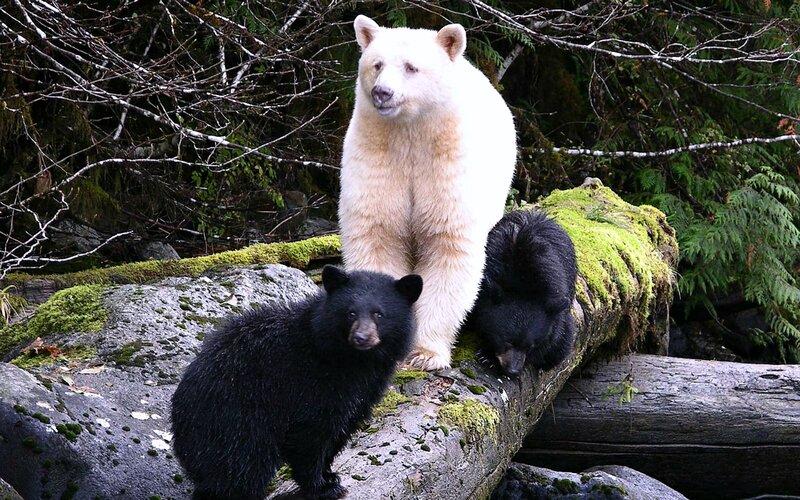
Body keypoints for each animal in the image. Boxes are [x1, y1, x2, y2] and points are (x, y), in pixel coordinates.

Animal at [170, 265, 423, 500]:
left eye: (379, 314)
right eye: (350, 313)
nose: (361, 338)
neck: (352, 360)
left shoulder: (365, 388)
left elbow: (343, 426)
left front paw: (330, 475)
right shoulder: (309, 381)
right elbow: (310, 433)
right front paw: (322, 487)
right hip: (235, 422)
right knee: (242, 468)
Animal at [338, 15, 517, 371]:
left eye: (411, 67)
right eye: (377, 64)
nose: (382, 92)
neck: (411, 132)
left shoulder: (447, 166)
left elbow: (448, 246)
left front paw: (425, 353)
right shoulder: (377, 157)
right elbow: (378, 234)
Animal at [469, 209, 578, 376]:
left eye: (530, 346)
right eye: (506, 340)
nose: (512, 370)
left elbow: (552, 339)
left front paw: (489, 357)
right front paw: (487, 356)